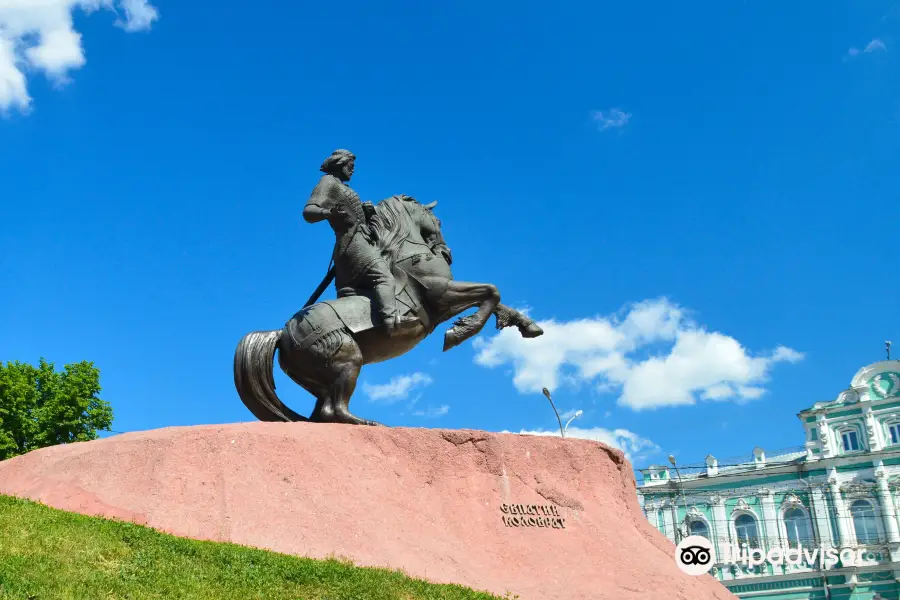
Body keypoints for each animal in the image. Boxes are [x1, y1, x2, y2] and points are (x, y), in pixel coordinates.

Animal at [234, 195, 540, 424]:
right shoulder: (441, 295)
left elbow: (495, 298)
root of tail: (280, 334)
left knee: (322, 414)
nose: (447, 253)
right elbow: (491, 290)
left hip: (321, 378)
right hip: (348, 360)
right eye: (438, 221)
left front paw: (528, 326)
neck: (406, 254)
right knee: (333, 410)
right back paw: (367, 422)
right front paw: (459, 333)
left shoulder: (443, 305)